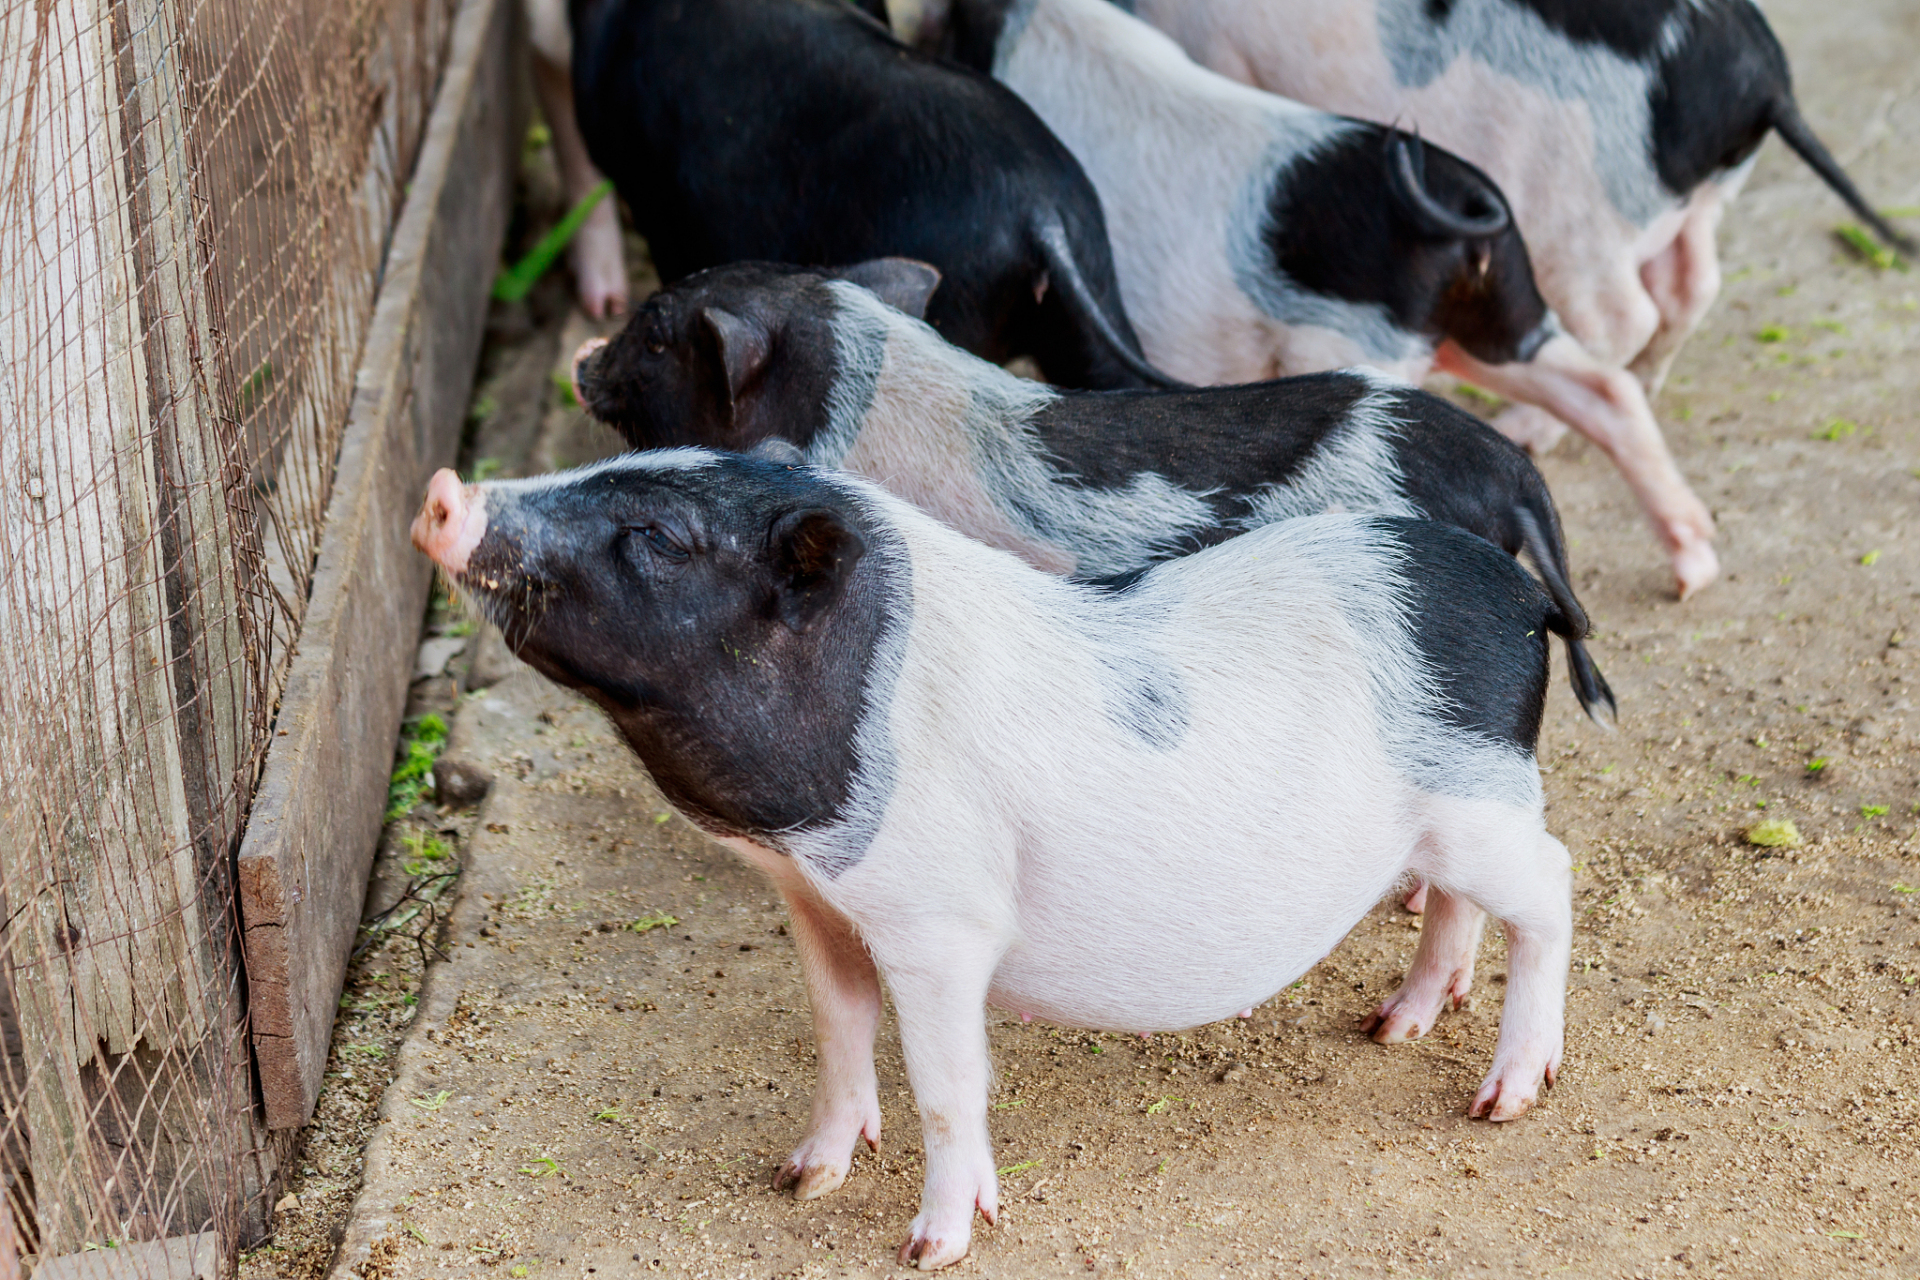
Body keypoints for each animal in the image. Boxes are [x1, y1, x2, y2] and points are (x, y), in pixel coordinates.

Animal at [416, 445, 1589, 1266]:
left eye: (656, 532)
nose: (442, 489)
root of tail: (1518, 592)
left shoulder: (941, 921)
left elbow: (946, 1079)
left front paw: (929, 1246)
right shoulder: (820, 901)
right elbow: (837, 1030)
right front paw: (803, 1179)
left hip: (1484, 804)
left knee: (1554, 884)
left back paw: (1503, 1099)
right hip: (1452, 818)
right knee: (1461, 906)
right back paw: (1394, 1025)